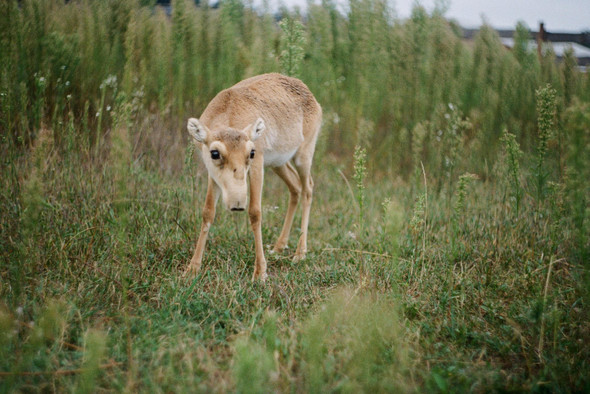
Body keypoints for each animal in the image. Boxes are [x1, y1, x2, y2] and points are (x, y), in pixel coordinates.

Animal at [186, 74, 322, 282]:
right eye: (214, 153)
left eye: (251, 152)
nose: (237, 204)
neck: (228, 112)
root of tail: (307, 90)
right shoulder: (213, 175)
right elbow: (208, 212)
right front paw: (192, 269)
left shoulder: (257, 166)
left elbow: (255, 212)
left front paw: (260, 273)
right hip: (278, 164)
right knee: (295, 188)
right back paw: (278, 247)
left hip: (303, 155)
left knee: (308, 188)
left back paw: (300, 253)